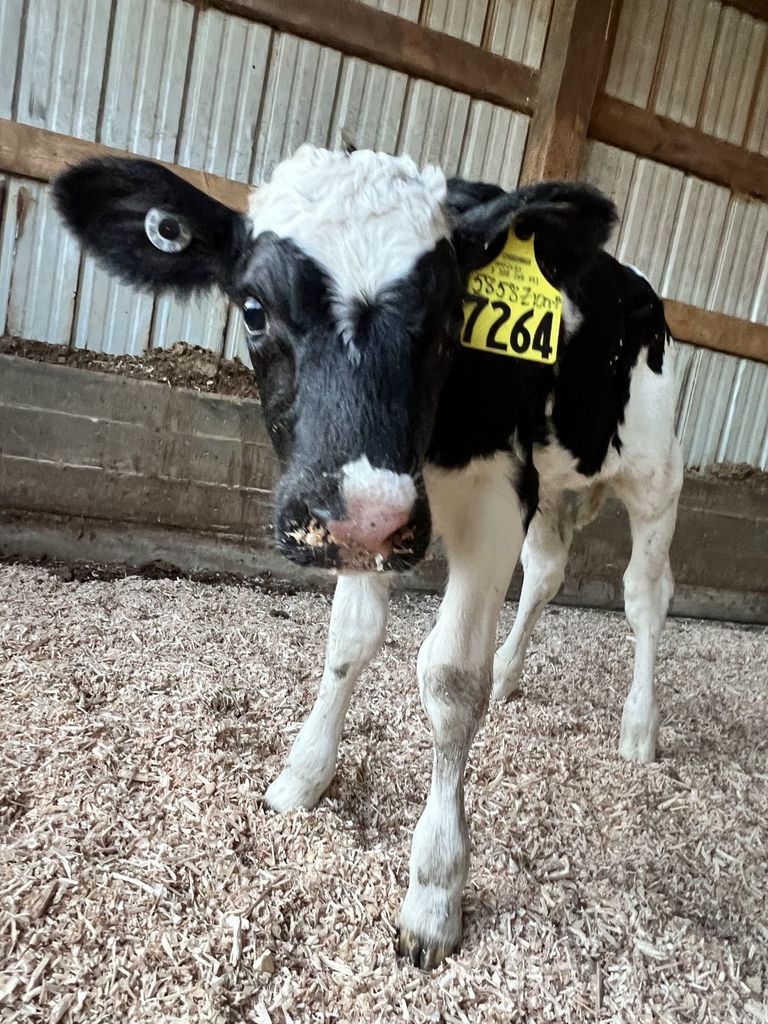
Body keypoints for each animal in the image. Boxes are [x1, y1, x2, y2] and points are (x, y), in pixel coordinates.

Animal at [53, 146, 682, 969]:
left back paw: (639, 727)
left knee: (645, 594)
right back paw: (513, 673)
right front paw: (303, 775)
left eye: (452, 316)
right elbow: (350, 641)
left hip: (656, 472)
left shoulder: (494, 493)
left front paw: (435, 892)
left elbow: (450, 679)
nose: (365, 514)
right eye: (254, 310)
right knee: (547, 572)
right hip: (551, 487)